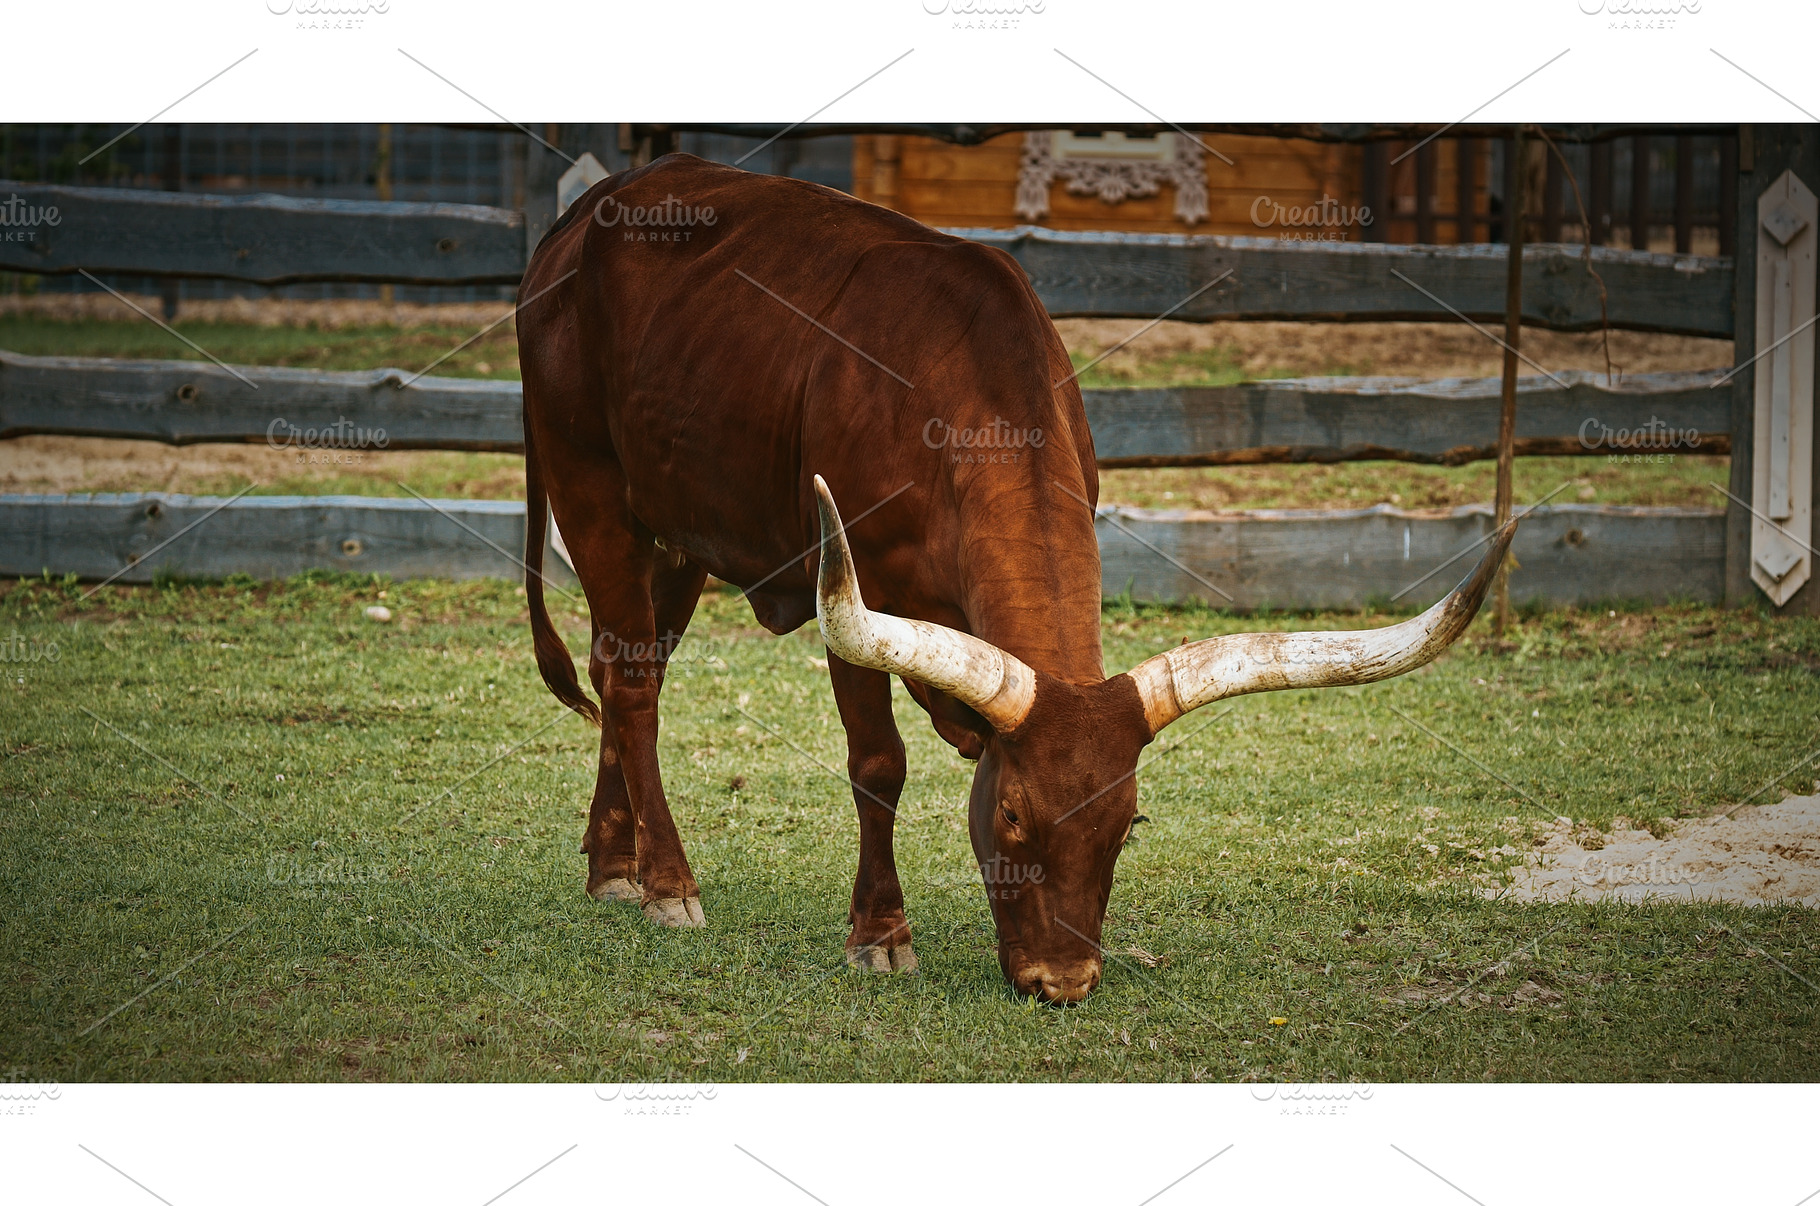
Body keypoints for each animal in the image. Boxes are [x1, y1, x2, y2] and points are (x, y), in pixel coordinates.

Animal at [518, 153, 1514, 1002]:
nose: (1062, 982)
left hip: (679, 528)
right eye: (1009, 822)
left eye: (1125, 828)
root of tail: (582, 212)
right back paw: (668, 884)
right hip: (589, 483)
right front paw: (880, 935)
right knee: (633, 683)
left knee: (626, 666)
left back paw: (611, 863)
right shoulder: (848, 592)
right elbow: (877, 764)